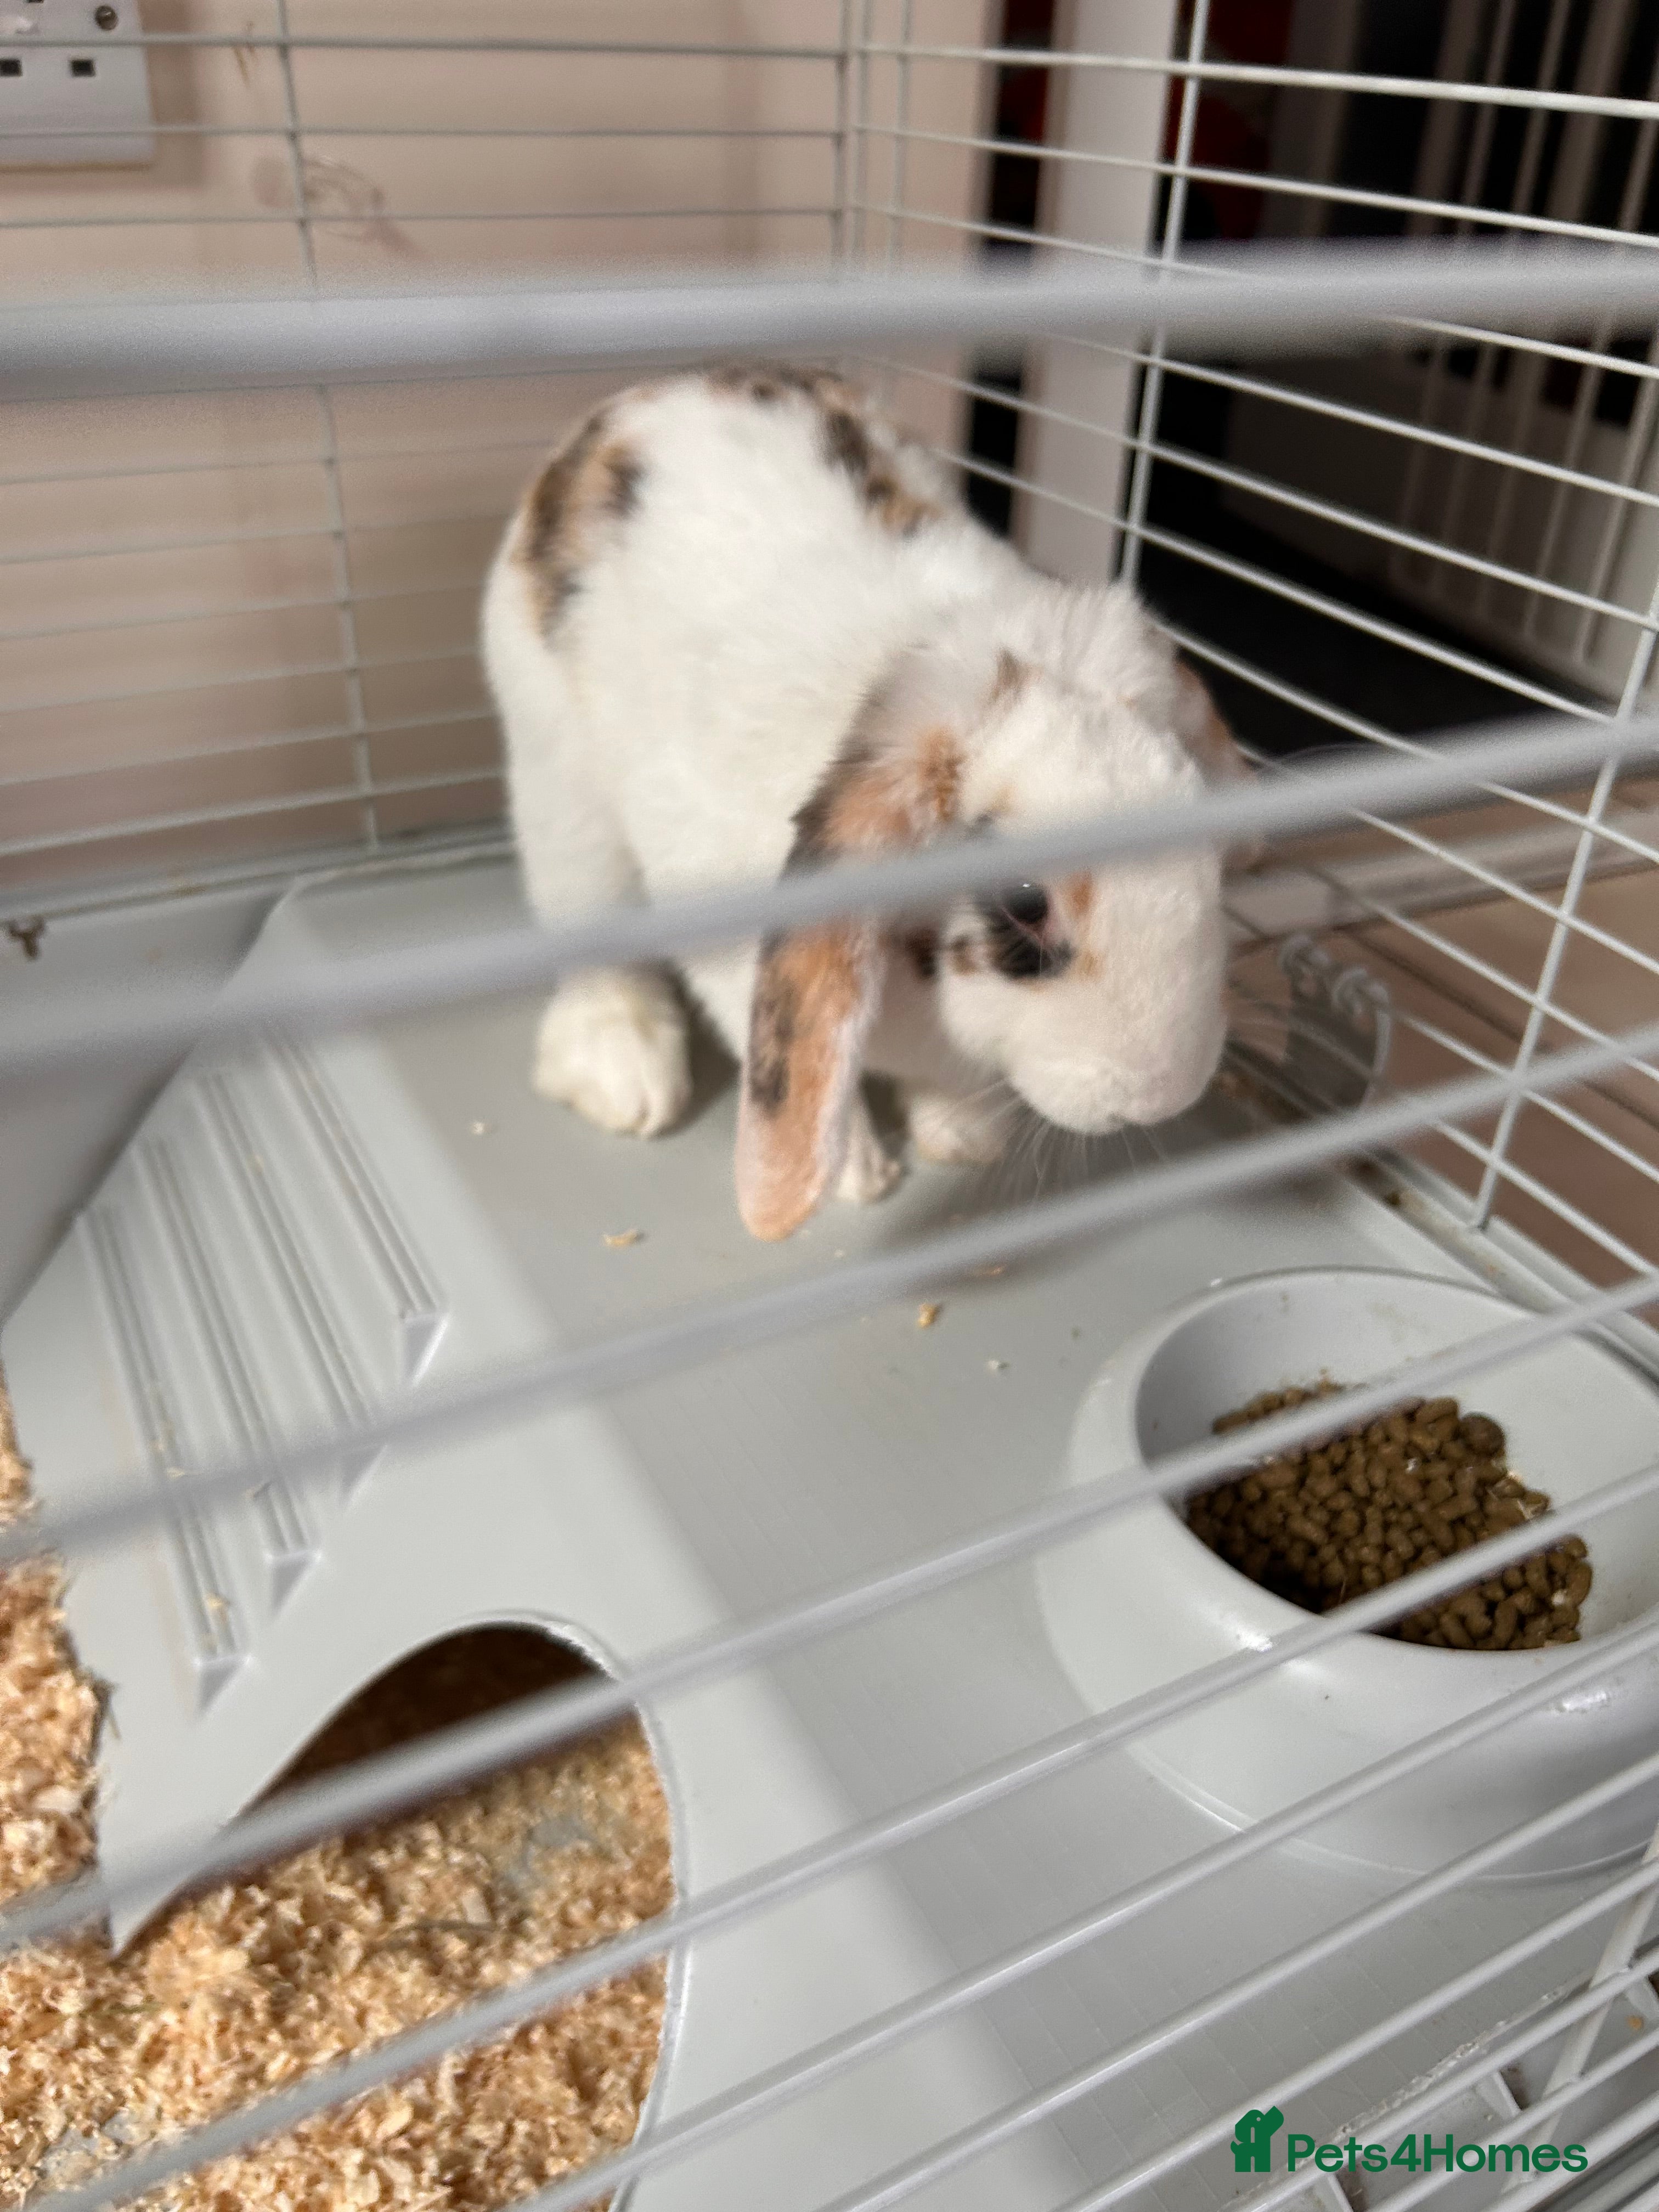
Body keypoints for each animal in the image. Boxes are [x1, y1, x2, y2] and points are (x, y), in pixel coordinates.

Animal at [481, 364, 1253, 1242]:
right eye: (1024, 900)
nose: (1165, 1093)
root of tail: (643, 396)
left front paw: (965, 1138)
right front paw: (857, 1175)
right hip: (562, 796)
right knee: (595, 945)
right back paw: (628, 1080)